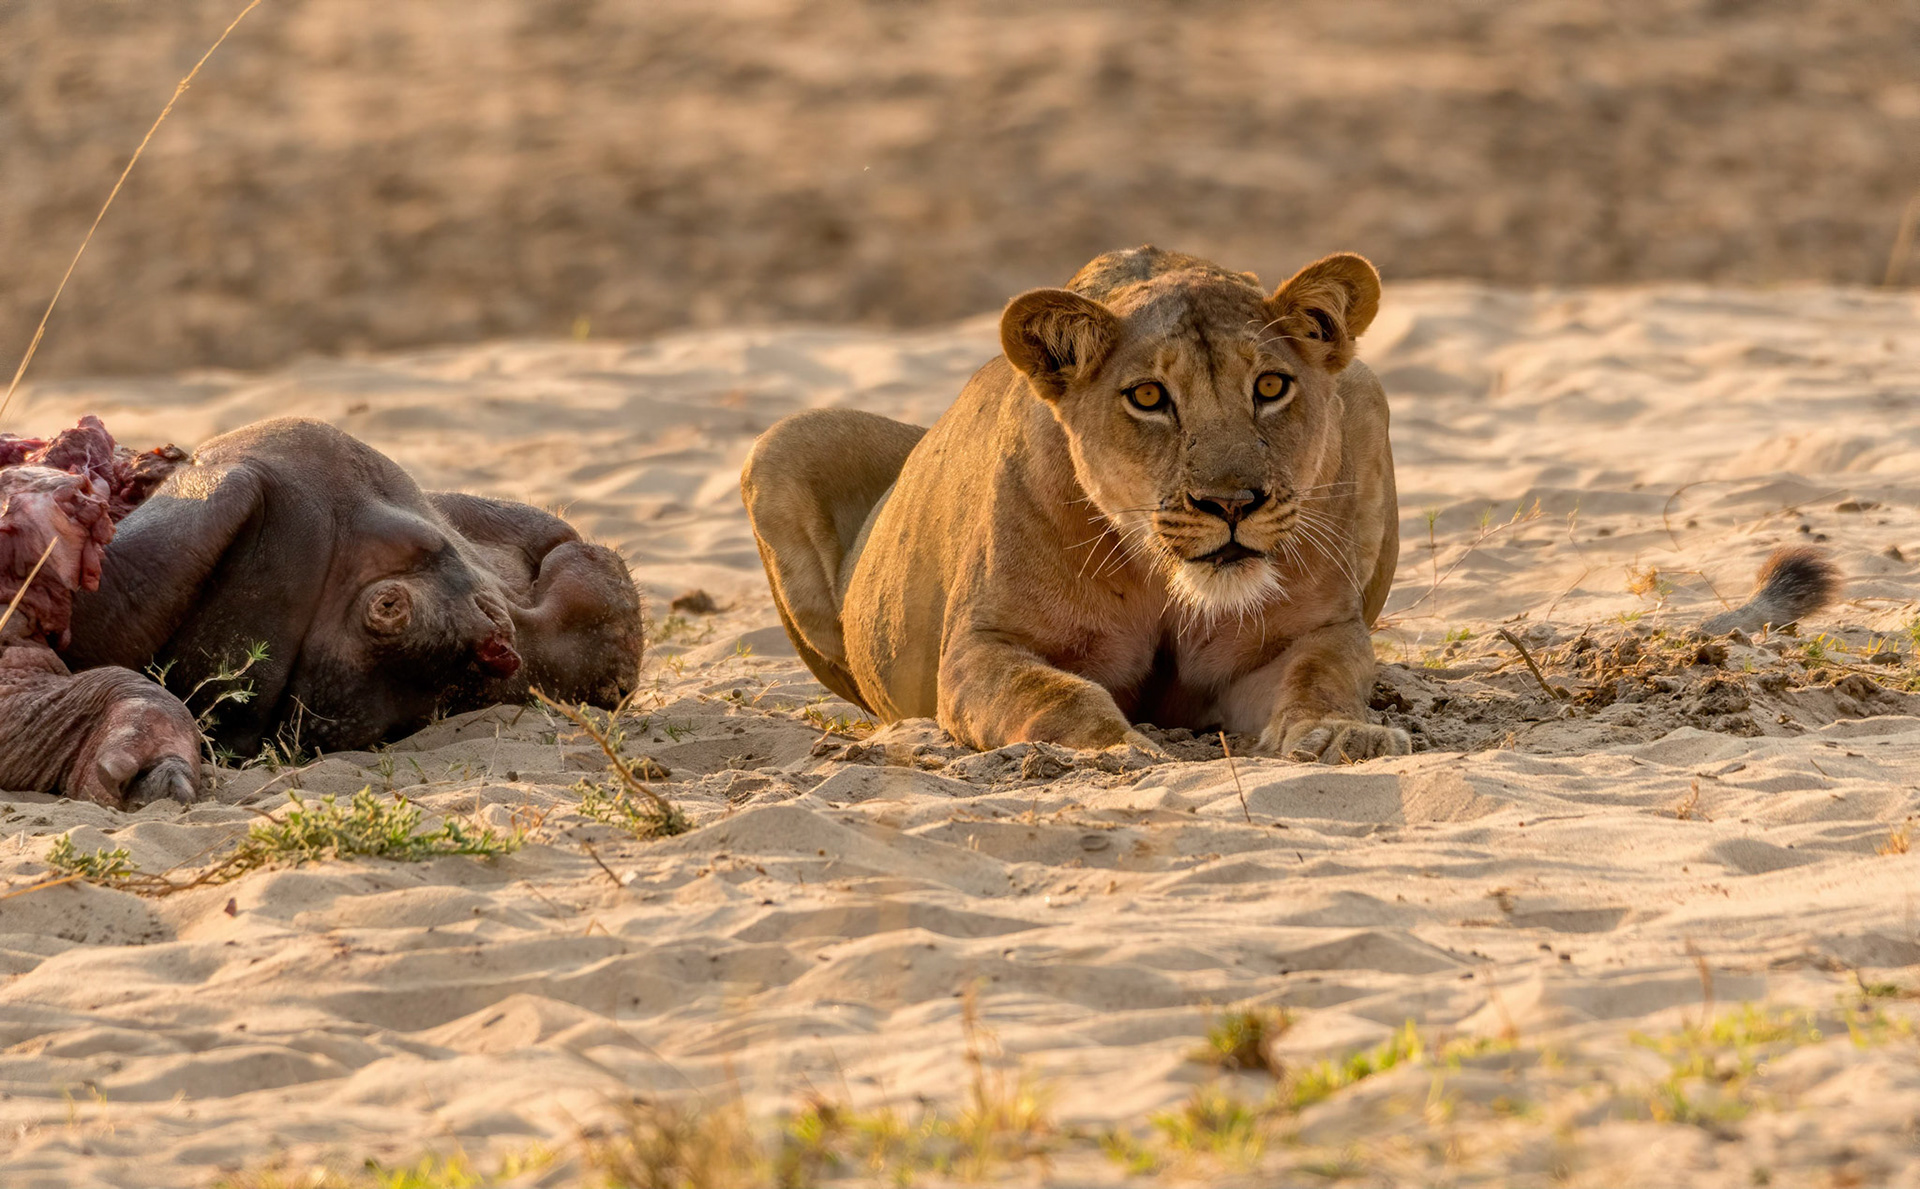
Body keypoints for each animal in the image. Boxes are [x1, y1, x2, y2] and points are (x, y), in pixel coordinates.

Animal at [743, 245, 1406, 762]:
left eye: (1270, 386)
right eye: (1148, 397)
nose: (1230, 504)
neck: (1161, 579)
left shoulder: (1310, 632)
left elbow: (1319, 676)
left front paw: (1342, 735)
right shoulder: (980, 647)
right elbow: (1060, 696)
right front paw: (1121, 750)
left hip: (1366, 383)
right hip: (777, 444)